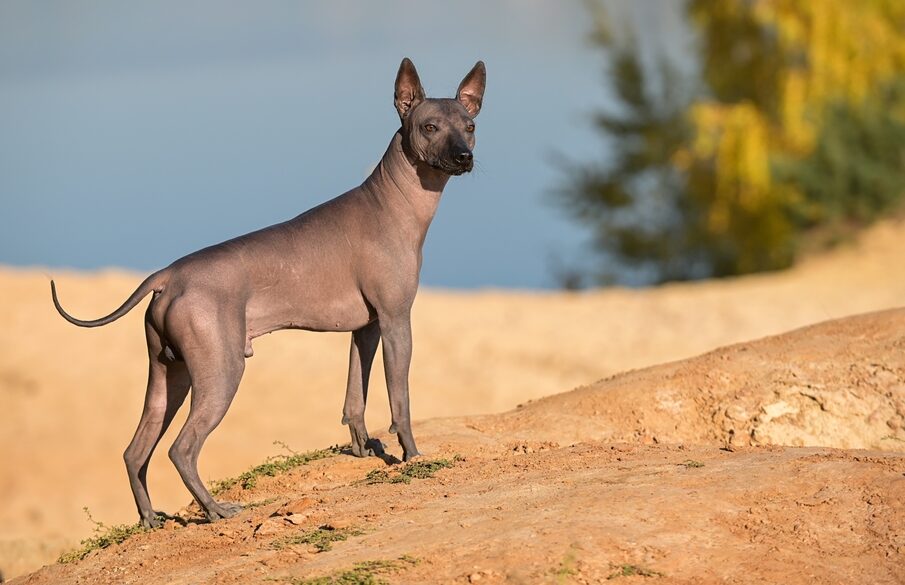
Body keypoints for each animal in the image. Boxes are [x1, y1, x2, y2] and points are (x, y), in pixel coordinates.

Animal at [52, 57, 484, 528]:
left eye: (470, 125)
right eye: (429, 127)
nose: (464, 156)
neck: (393, 203)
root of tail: (168, 275)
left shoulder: (366, 329)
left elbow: (355, 396)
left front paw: (362, 448)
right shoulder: (395, 321)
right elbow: (400, 400)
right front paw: (411, 453)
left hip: (169, 376)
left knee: (135, 451)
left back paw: (150, 518)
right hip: (221, 371)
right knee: (181, 449)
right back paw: (215, 509)